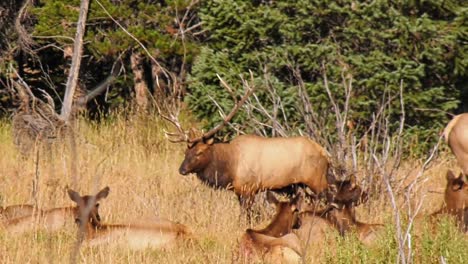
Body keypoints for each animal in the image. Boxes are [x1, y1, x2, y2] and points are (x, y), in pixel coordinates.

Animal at [165, 85, 332, 220]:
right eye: (186, 151)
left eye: (199, 152)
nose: (182, 170)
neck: (230, 168)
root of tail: (326, 154)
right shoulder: (240, 191)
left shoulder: (249, 188)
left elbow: (246, 216)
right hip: (300, 185)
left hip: (317, 180)